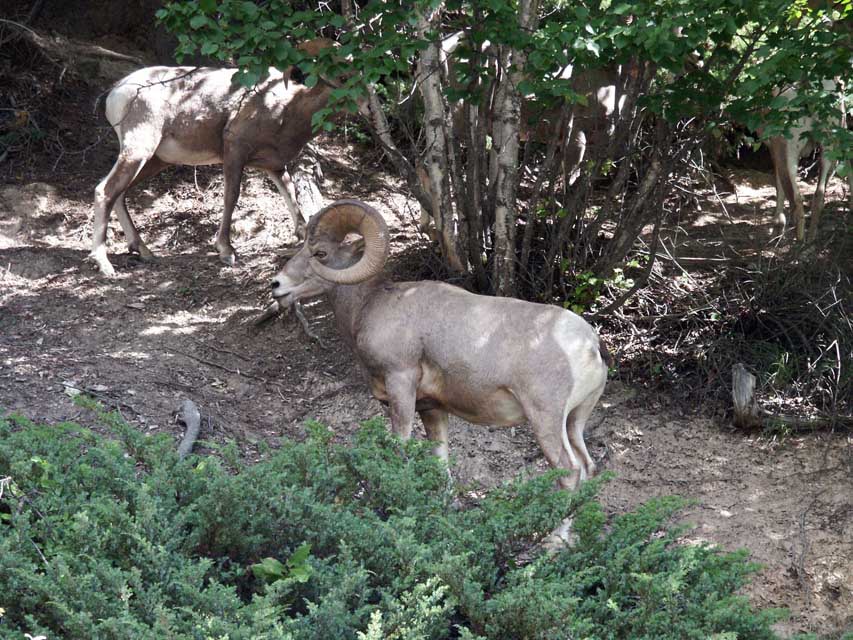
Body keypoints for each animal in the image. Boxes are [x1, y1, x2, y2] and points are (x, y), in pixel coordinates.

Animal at [88, 38, 338, 276]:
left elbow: (290, 193)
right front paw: (227, 251)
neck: (285, 108)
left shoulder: (274, 166)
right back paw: (105, 265)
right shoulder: (235, 151)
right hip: (139, 150)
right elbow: (231, 197)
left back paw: (144, 251)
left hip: (155, 161)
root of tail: (116, 93)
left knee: (119, 193)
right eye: (338, 75)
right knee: (105, 190)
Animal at [270, 198, 608, 488]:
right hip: (574, 421)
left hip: (546, 420)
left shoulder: (401, 385)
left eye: (320, 254)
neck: (370, 305)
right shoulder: (432, 409)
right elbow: (440, 461)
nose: (277, 286)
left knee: (569, 471)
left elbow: (400, 448)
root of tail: (590, 344)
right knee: (587, 467)